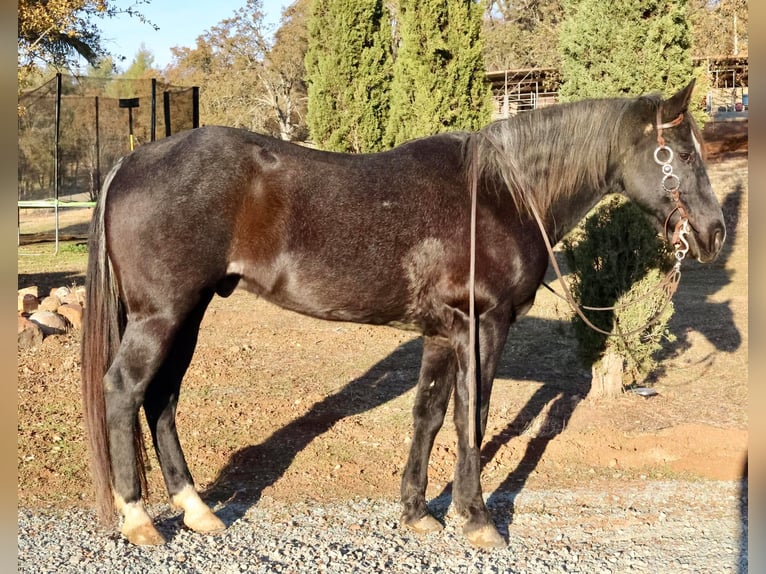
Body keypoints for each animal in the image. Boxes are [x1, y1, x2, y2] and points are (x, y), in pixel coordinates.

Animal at [81, 79, 725, 548]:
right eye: (680, 153)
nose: (715, 234)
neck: (502, 193)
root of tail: (130, 162)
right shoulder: (483, 328)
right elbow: (473, 417)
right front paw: (477, 519)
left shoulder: (441, 335)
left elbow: (429, 416)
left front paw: (417, 512)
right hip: (161, 317)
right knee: (125, 390)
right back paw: (138, 519)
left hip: (187, 316)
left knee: (162, 398)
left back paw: (197, 510)